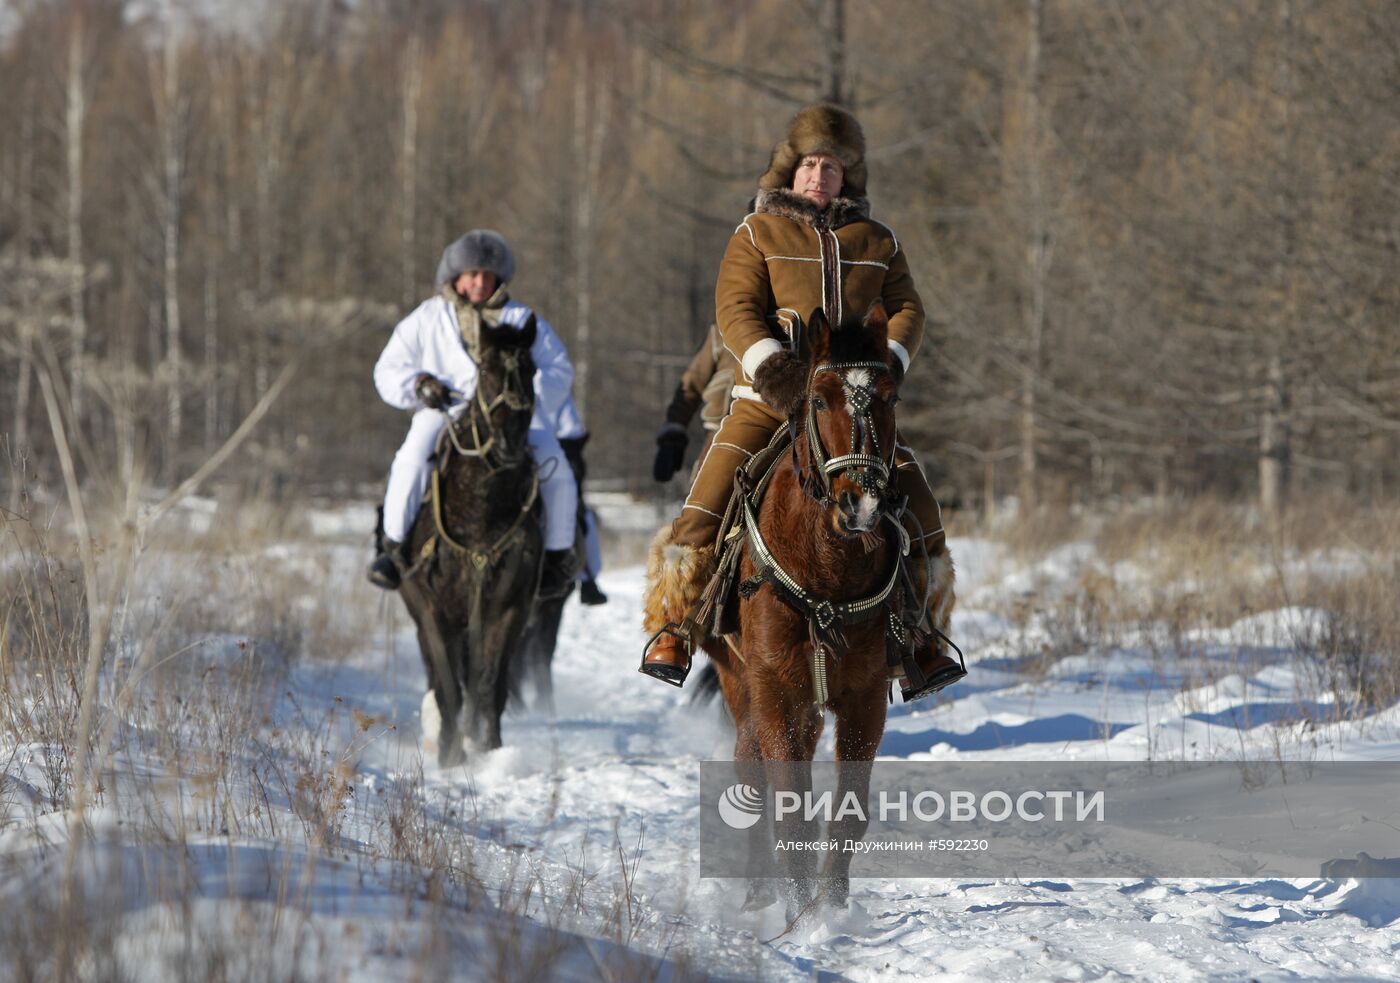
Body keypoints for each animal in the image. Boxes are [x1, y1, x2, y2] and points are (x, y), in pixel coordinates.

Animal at [700, 303, 940, 918]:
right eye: (817, 400)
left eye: (890, 398)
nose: (864, 503)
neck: (827, 567)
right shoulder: (775, 690)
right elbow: (788, 808)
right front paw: (803, 919)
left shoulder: (863, 697)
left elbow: (848, 812)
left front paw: (831, 912)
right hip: (741, 683)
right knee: (750, 769)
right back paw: (759, 891)